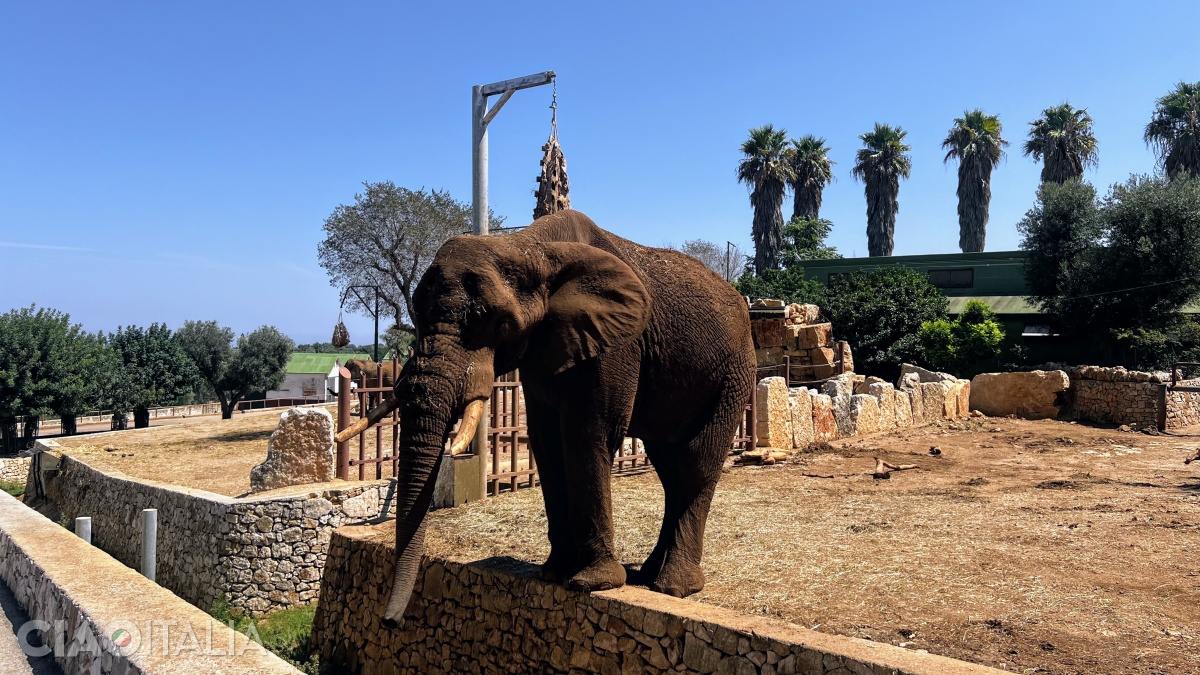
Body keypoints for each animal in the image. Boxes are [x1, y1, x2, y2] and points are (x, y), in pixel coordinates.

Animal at [378, 210, 755, 623]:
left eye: (500, 324)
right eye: (415, 315)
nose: (390, 621)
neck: (531, 248)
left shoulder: (617, 343)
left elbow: (589, 435)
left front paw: (593, 582)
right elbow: (546, 442)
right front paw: (553, 573)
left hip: (734, 374)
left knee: (695, 465)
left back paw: (674, 587)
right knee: (669, 467)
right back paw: (647, 575)